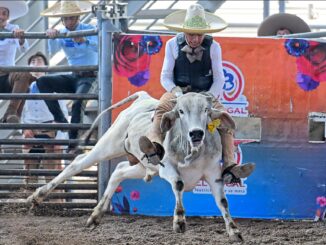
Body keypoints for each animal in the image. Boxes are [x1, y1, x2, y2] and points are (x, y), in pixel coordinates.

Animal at [27, 91, 242, 241]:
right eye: (181, 111)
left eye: (206, 110)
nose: (196, 133)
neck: (192, 150)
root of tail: (143, 98)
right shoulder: (166, 167)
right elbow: (179, 184)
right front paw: (179, 220)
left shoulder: (213, 174)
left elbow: (223, 202)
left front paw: (234, 231)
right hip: (109, 144)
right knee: (78, 163)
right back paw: (37, 196)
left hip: (141, 165)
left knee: (119, 171)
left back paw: (96, 215)